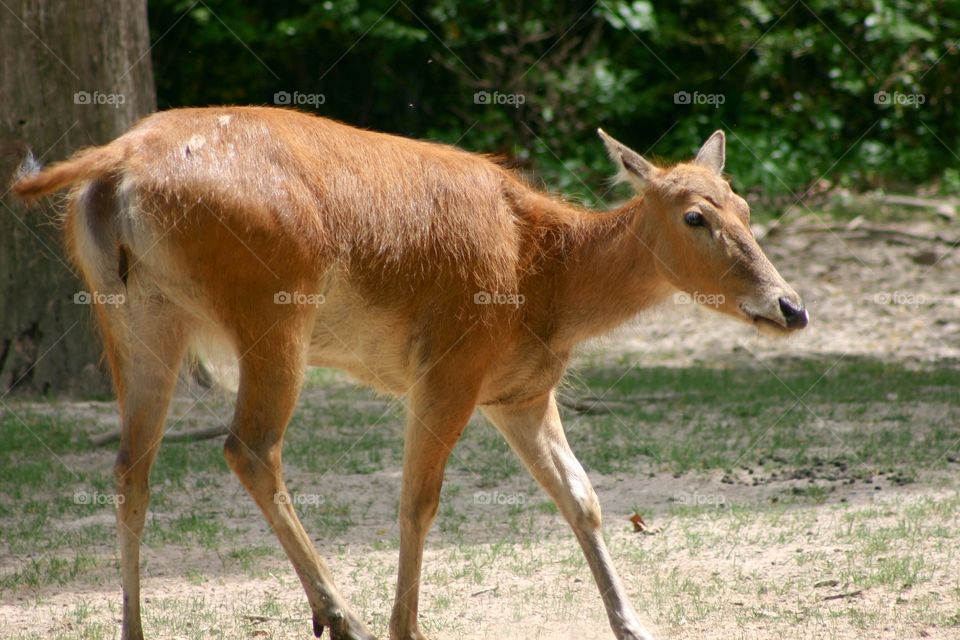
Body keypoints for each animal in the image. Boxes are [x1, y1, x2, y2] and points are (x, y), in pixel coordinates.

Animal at [13, 106, 808, 640]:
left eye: (745, 204)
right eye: (696, 216)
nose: (790, 306)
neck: (546, 284)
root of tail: (111, 166)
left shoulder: (520, 391)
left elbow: (581, 497)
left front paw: (634, 624)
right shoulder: (450, 368)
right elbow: (417, 503)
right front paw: (407, 627)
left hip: (134, 315)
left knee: (131, 466)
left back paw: (137, 628)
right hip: (271, 311)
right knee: (249, 447)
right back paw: (344, 616)